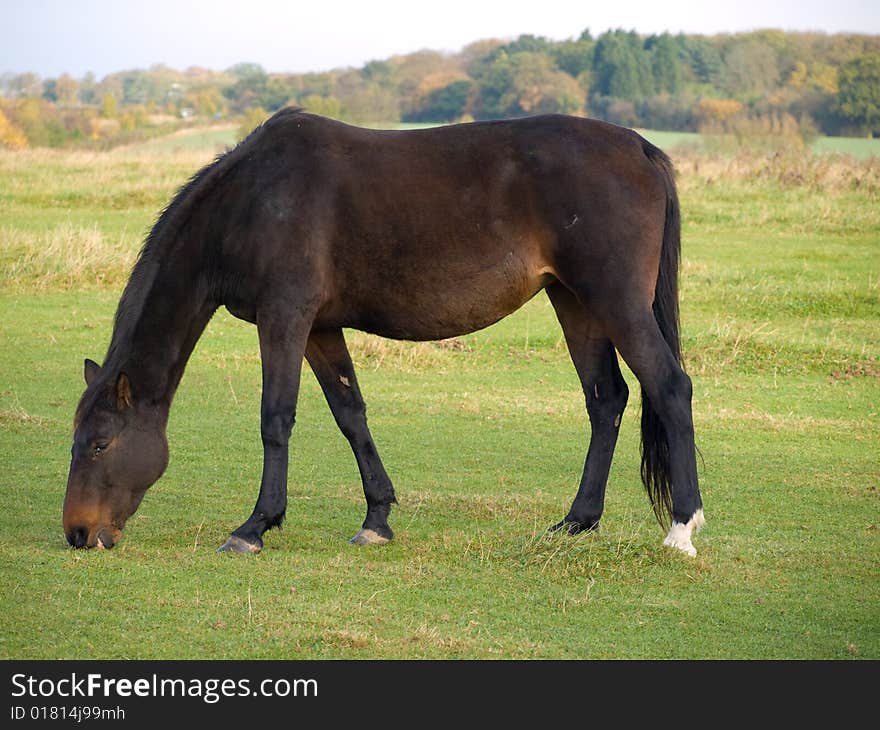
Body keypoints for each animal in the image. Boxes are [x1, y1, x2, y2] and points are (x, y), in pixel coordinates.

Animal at [62, 108, 704, 556]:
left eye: (100, 443)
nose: (78, 533)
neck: (253, 200)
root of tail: (639, 148)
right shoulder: (320, 328)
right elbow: (351, 414)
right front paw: (377, 519)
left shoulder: (284, 318)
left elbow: (276, 419)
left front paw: (255, 526)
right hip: (574, 302)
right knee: (607, 400)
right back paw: (576, 521)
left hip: (614, 301)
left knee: (670, 387)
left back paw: (682, 528)